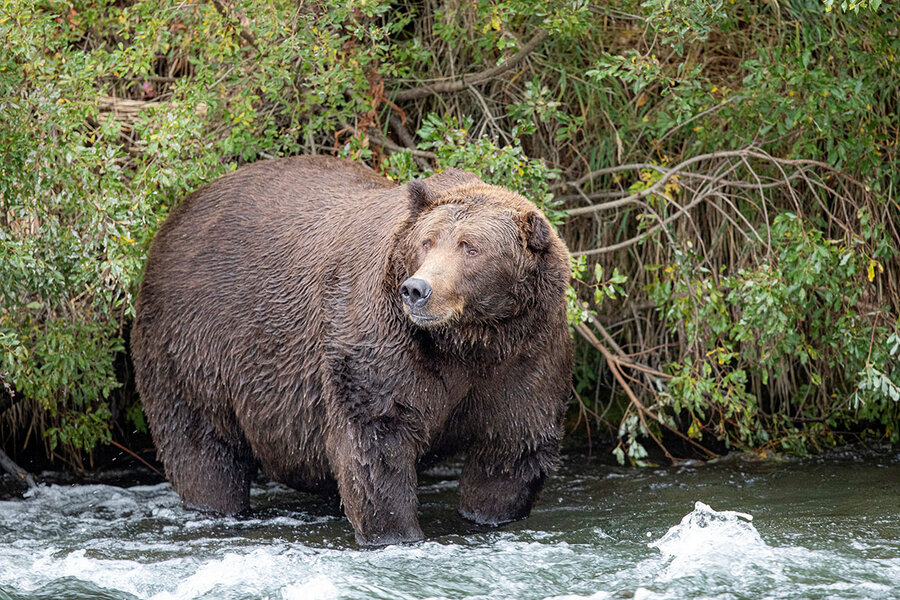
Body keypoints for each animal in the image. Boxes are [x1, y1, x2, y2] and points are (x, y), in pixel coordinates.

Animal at [133, 156, 568, 548]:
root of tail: (177, 214)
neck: (468, 341)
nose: (417, 290)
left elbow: (511, 447)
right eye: (427, 242)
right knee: (202, 446)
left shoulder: (526, 355)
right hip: (195, 342)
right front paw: (396, 534)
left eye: (471, 247)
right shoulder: (383, 341)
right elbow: (376, 441)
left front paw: (487, 515)